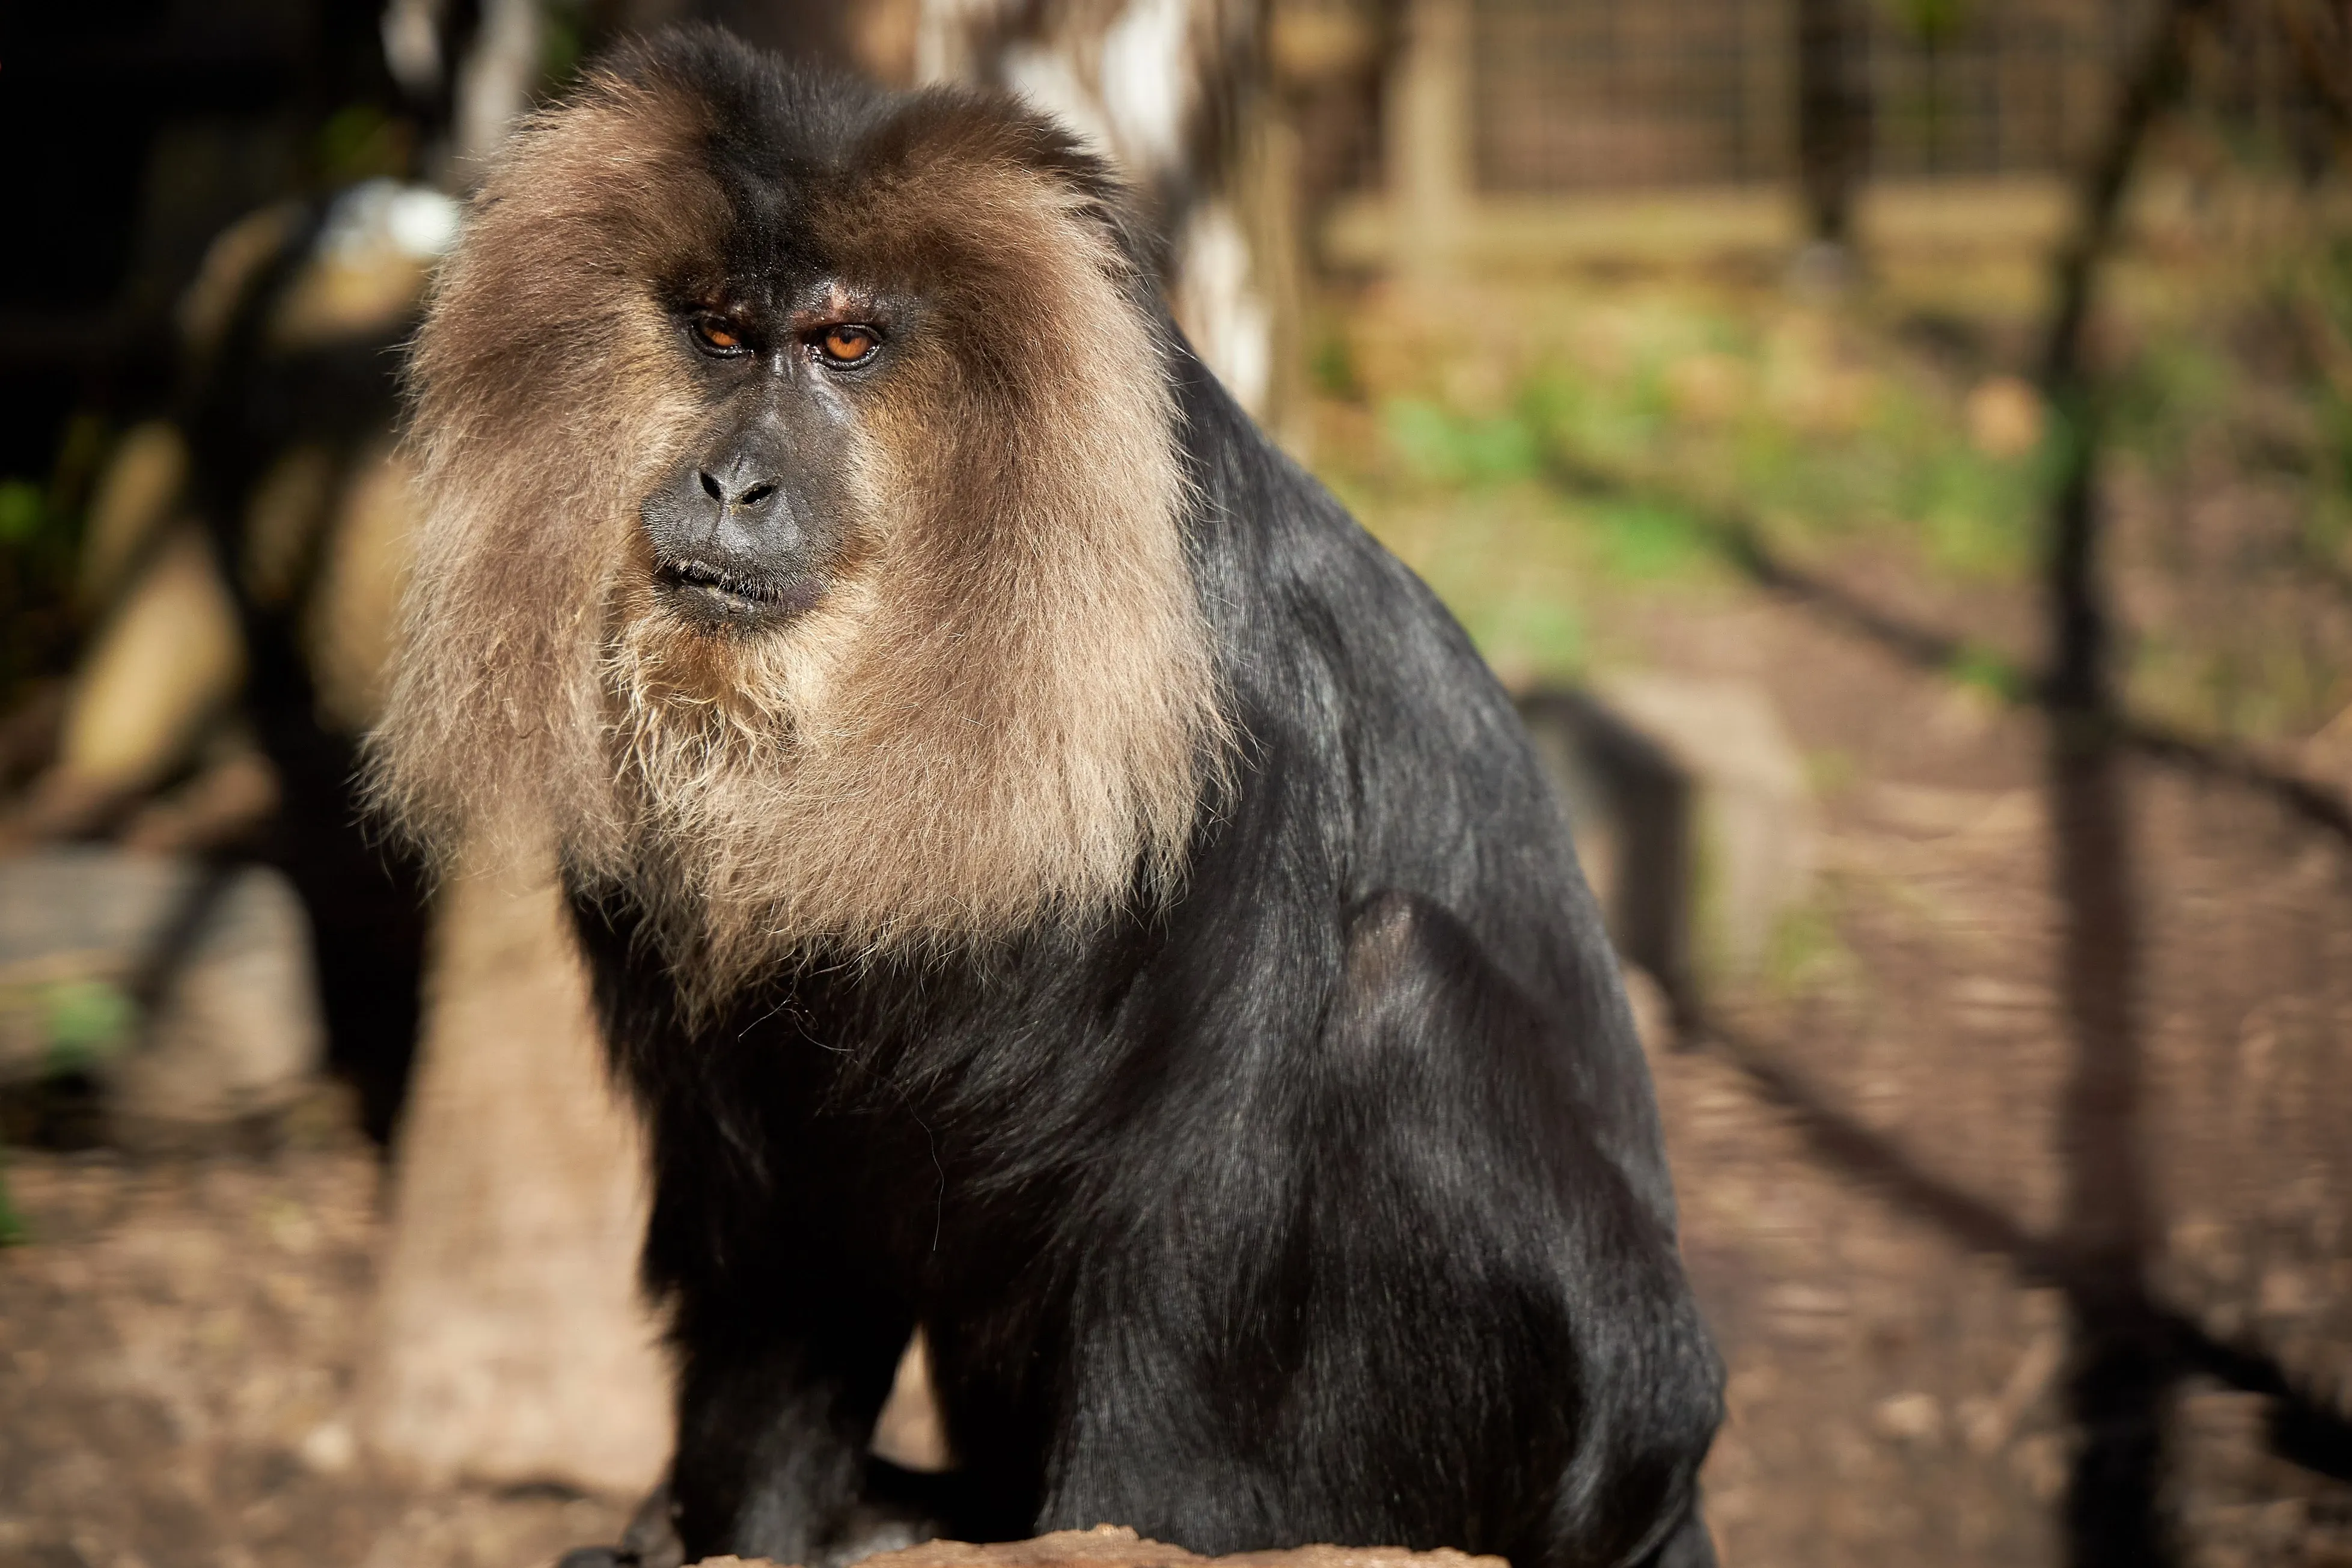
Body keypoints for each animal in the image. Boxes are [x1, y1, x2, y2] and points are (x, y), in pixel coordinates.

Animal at [368, 27, 1723, 1568]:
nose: (729, 479)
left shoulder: (1244, 760)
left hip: (1595, 1425)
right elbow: (779, 1260)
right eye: (720, 333)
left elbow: (1179, 1288)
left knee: (1400, 979)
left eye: (845, 342)